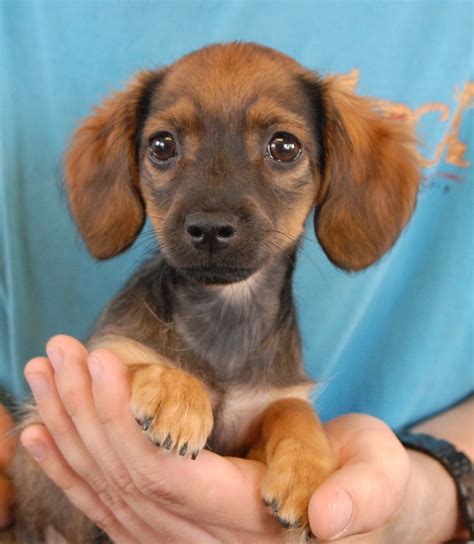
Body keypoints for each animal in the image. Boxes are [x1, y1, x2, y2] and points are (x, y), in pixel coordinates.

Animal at [9, 43, 420, 544]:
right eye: (162, 145)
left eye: (285, 146)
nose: (208, 228)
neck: (226, 310)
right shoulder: (50, 430)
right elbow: (130, 355)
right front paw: (177, 392)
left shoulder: (259, 410)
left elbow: (294, 411)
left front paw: (306, 474)